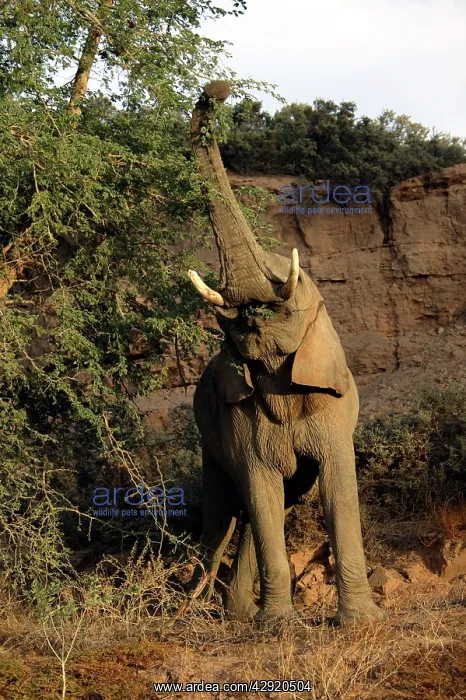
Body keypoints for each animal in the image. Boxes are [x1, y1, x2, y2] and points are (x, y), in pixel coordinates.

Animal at [187, 80, 383, 625]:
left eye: (289, 290)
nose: (216, 90)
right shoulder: (239, 421)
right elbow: (259, 489)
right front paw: (276, 627)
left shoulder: (334, 408)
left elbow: (337, 489)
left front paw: (359, 624)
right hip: (207, 440)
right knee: (222, 516)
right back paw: (194, 609)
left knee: (257, 513)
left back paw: (232, 613)